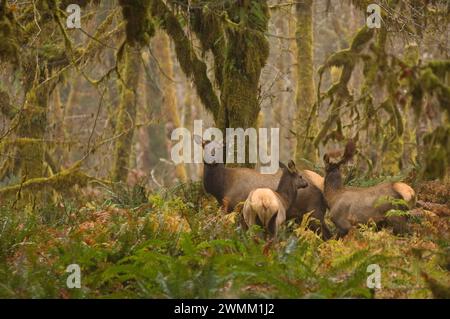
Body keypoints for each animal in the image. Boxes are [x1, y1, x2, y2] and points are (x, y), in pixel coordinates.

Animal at [195, 138, 332, 240]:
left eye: (219, 147)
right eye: (204, 145)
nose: (212, 158)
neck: (222, 187)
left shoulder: (236, 207)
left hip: (315, 212)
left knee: (328, 235)